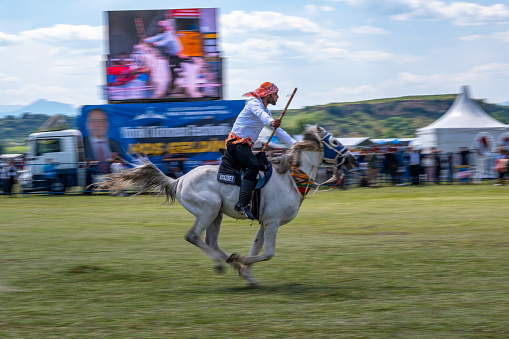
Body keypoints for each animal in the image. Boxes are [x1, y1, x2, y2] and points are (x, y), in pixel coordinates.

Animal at [97, 126, 356, 288]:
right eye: (334, 141)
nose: (353, 159)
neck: (291, 177)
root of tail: (179, 179)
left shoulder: (265, 222)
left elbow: (256, 248)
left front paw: (248, 274)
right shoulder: (272, 222)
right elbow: (268, 253)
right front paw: (243, 263)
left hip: (217, 216)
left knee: (210, 241)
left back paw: (231, 262)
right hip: (208, 211)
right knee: (193, 236)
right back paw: (224, 263)